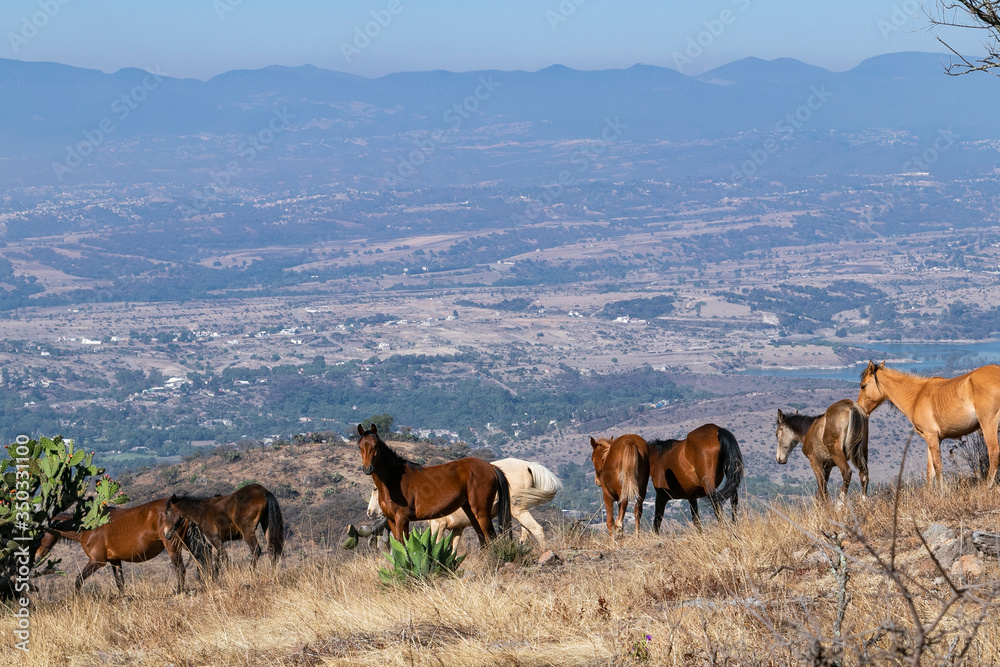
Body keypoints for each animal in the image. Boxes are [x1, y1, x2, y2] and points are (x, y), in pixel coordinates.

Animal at [34, 498, 210, 594]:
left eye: (39, 535)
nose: (36, 556)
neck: (89, 528)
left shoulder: (97, 561)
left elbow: (78, 581)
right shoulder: (115, 560)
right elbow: (120, 583)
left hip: (173, 546)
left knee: (181, 569)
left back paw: (179, 591)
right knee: (202, 564)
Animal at [358, 423, 512, 544]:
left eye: (375, 445)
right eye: (360, 446)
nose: (367, 468)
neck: (394, 480)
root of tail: (490, 466)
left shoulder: (401, 519)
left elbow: (403, 545)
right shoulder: (392, 520)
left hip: (481, 512)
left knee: (491, 539)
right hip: (471, 512)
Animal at [367, 457, 563, 550]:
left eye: (375, 489)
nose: (370, 513)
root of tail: (527, 465)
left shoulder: (439, 525)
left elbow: (436, 543)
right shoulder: (458, 528)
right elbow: (453, 548)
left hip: (517, 509)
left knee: (537, 529)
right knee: (526, 531)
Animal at [858, 361, 1000, 488]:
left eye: (863, 386)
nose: (860, 408)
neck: (917, 396)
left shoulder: (932, 437)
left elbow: (938, 467)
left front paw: (941, 492)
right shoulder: (931, 439)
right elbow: (930, 471)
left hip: (988, 424)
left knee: (993, 452)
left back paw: (988, 486)